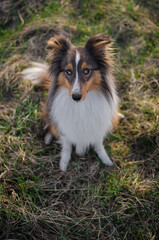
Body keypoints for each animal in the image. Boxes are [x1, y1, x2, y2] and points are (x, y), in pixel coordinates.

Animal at [22, 33, 121, 171]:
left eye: (86, 70)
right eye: (68, 72)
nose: (76, 96)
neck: (81, 106)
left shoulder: (97, 125)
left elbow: (98, 144)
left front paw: (106, 159)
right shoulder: (66, 127)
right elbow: (67, 146)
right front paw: (63, 164)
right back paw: (48, 138)